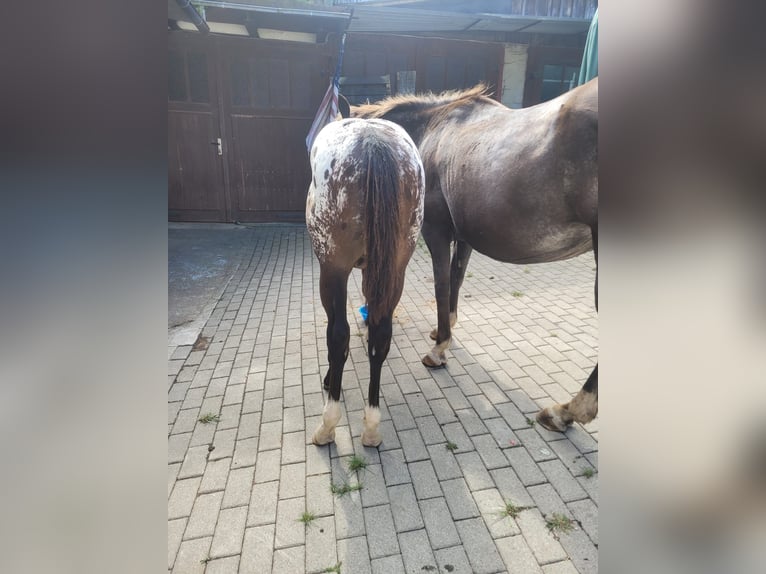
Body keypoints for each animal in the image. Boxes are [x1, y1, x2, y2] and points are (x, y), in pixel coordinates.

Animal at [306, 118, 426, 450]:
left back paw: (327, 425)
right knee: (380, 336)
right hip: (396, 269)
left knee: (338, 335)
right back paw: (371, 427)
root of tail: (374, 144)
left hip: (333, 270)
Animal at [354, 80, 600, 432]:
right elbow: (456, 279)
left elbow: (442, 285)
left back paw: (566, 411)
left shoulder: (436, 231)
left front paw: (439, 349)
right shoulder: (465, 236)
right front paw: (443, 332)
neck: (430, 131)